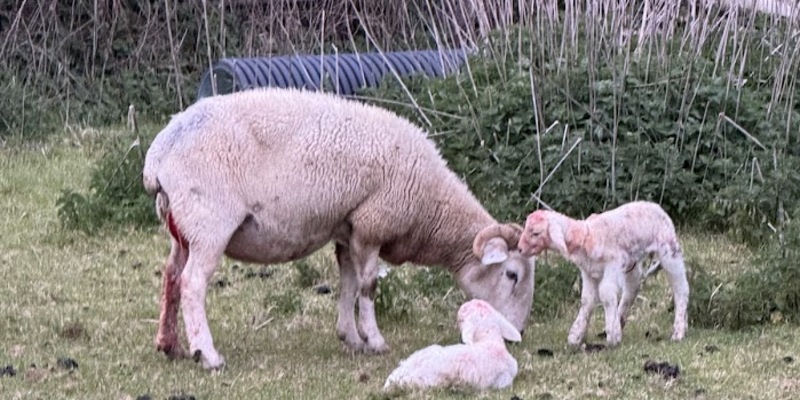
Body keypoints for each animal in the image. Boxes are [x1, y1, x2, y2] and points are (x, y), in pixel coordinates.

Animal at [142, 88, 536, 369]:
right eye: (512, 274)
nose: (518, 334)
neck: (431, 206)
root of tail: (158, 155)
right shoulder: (373, 225)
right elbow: (369, 287)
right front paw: (375, 341)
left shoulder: (348, 230)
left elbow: (348, 284)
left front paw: (352, 337)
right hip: (209, 221)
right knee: (193, 283)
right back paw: (207, 355)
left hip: (183, 227)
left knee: (171, 276)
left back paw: (170, 345)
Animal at [518, 201, 689, 347]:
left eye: (535, 233)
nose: (519, 248)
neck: (587, 235)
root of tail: (656, 207)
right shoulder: (588, 272)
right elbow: (586, 300)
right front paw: (576, 335)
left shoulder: (613, 264)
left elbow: (606, 294)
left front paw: (612, 335)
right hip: (632, 263)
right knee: (632, 289)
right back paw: (620, 319)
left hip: (669, 250)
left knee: (681, 288)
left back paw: (678, 331)